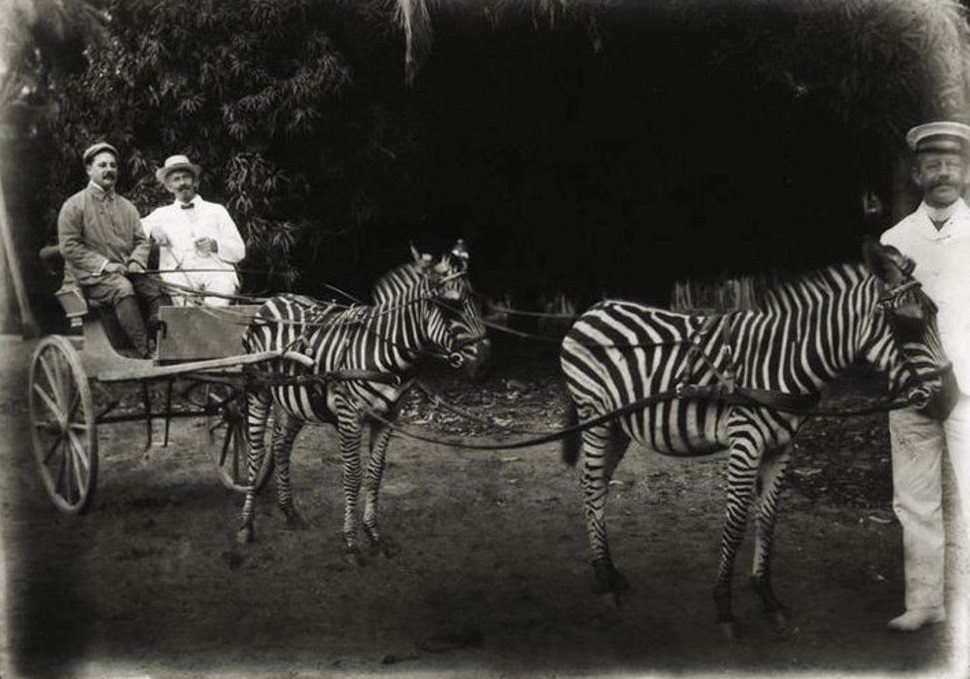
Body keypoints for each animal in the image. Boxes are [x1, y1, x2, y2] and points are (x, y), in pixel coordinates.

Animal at [235, 240, 492, 564]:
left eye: (477, 302)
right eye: (451, 306)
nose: (485, 367)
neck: (386, 350)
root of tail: (272, 299)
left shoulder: (389, 417)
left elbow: (375, 475)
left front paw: (374, 536)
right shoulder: (350, 415)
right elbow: (353, 477)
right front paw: (351, 543)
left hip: (293, 399)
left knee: (281, 445)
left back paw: (290, 512)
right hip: (258, 391)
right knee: (255, 454)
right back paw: (246, 525)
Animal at [560, 240, 952, 636]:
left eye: (936, 314)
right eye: (910, 323)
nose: (950, 400)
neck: (785, 361)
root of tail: (593, 309)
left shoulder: (782, 446)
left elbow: (768, 519)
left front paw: (766, 595)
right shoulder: (745, 441)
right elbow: (735, 524)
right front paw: (724, 605)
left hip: (617, 425)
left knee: (598, 486)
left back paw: (610, 573)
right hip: (593, 415)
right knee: (591, 485)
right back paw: (605, 581)